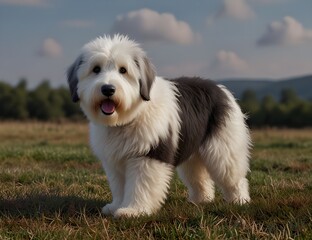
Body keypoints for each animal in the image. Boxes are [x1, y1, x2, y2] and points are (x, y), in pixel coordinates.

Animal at [66, 34, 251, 218]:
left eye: (123, 70)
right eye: (96, 69)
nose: (108, 89)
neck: (131, 115)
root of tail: (221, 89)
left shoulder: (149, 155)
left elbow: (141, 185)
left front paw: (133, 210)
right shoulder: (115, 160)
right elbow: (119, 186)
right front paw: (115, 206)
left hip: (224, 148)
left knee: (234, 177)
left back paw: (239, 200)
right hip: (193, 151)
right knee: (199, 177)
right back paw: (201, 199)